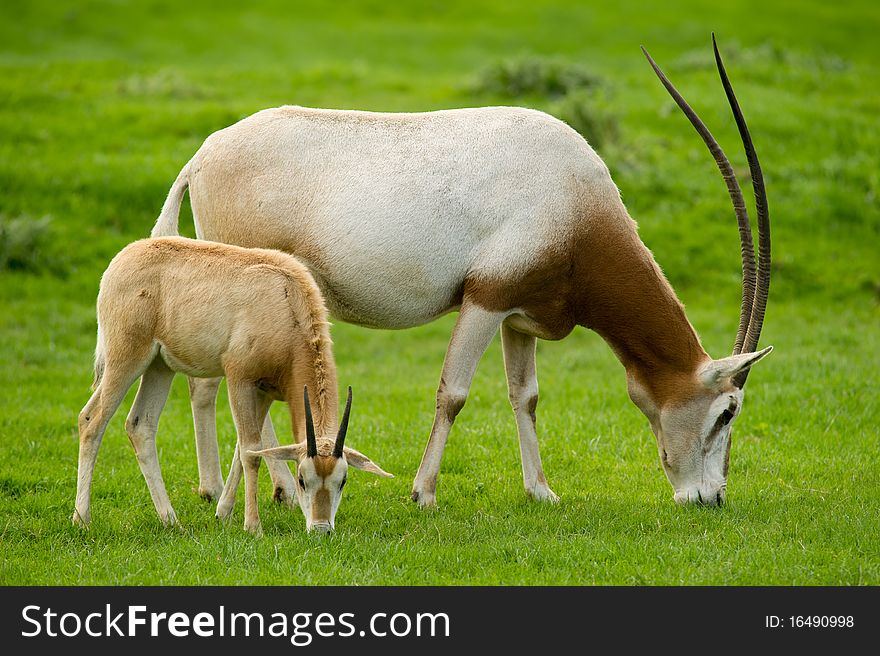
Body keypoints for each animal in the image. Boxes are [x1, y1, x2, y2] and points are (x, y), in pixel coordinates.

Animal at [75, 236, 392, 532]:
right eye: (302, 479)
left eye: (342, 480)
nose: (321, 529)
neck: (286, 299)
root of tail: (123, 259)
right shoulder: (240, 379)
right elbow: (251, 450)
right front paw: (252, 526)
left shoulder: (265, 391)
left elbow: (245, 449)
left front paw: (223, 513)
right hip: (127, 359)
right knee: (92, 420)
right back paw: (82, 518)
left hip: (159, 367)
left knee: (140, 426)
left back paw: (171, 520)